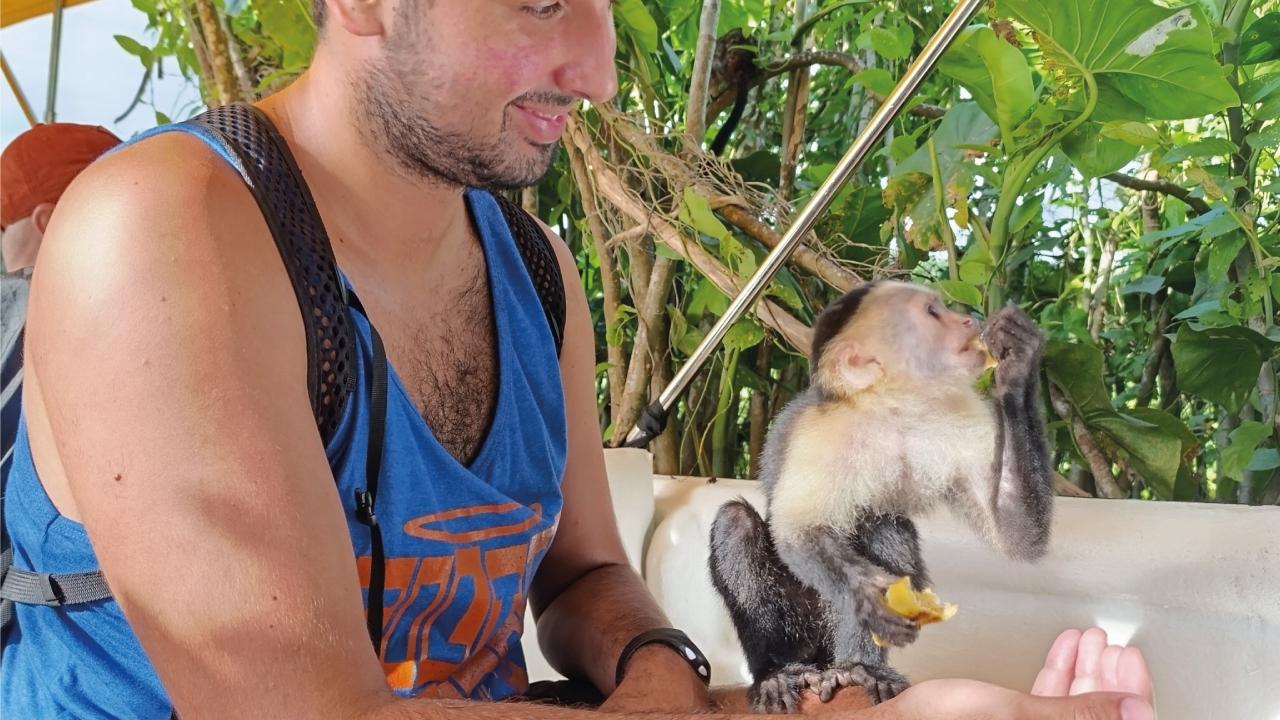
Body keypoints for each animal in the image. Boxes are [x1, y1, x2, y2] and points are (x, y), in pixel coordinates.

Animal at [708, 281, 1053, 713]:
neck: (893, 408)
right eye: (932, 313)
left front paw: (1017, 358)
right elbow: (799, 532)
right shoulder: (824, 433)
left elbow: (1016, 532)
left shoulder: (962, 414)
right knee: (737, 524)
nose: (968, 321)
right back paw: (776, 672)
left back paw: (860, 667)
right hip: (801, 619)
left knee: (883, 525)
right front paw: (870, 596)